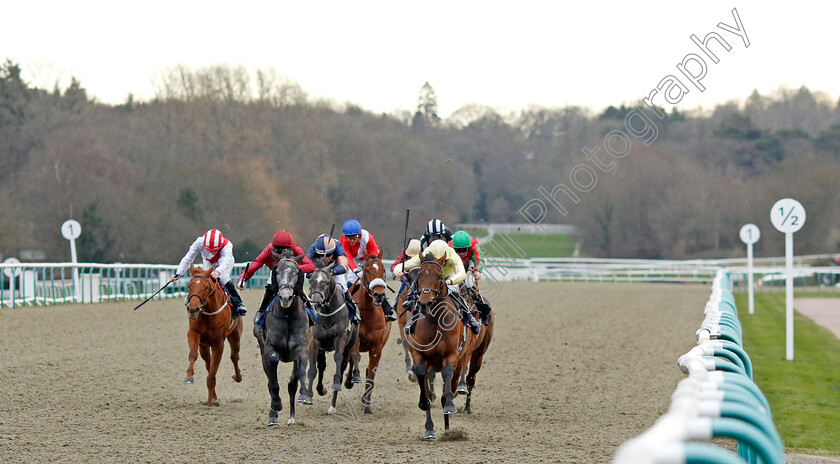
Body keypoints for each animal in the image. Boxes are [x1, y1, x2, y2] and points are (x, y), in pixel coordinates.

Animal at [185, 264, 244, 406]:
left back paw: (238, 376)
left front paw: (210, 403)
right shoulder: (194, 334)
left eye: (206, 287)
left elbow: (212, 374)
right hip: (205, 346)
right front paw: (189, 376)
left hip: (235, 336)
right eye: (189, 285)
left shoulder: (219, 343)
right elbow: (193, 354)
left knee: (234, 356)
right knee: (208, 363)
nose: (193, 309)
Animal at [256, 254, 312, 428]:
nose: (285, 297)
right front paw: (276, 405)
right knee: (270, 380)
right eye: (277, 272)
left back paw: (292, 417)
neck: (287, 315)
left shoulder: (302, 349)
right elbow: (273, 373)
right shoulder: (269, 348)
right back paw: (273, 415)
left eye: (295, 272)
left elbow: (296, 379)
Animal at [298, 260, 358, 416]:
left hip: (349, 346)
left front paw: (335, 388)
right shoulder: (315, 343)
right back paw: (320, 389)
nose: (317, 302)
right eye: (311, 281)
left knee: (343, 366)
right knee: (321, 365)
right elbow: (313, 370)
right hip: (322, 348)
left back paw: (333, 404)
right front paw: (308, 397)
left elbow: (338, 364)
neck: (327, 313)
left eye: (325, 282)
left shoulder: (340, 340)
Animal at [346, 252, 392, 416]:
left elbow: (371, 373)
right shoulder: (356, 341)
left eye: (384, 270)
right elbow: (355, 357)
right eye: (367, 270)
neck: (367, 312)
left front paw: (367, 406)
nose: (378, 295)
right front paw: (354, 378)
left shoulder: (377, 348)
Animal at [406, 254, 480, 438]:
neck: (434, 322)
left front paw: (449, 407)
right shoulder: (419, 355)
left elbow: (447, 379)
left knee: (453, 384)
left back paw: (448, 426)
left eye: (440, 277)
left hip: (463, 359)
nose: (424, 303)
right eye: (419, 276)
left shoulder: (451, 356)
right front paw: (427, 420)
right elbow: (422, 380)